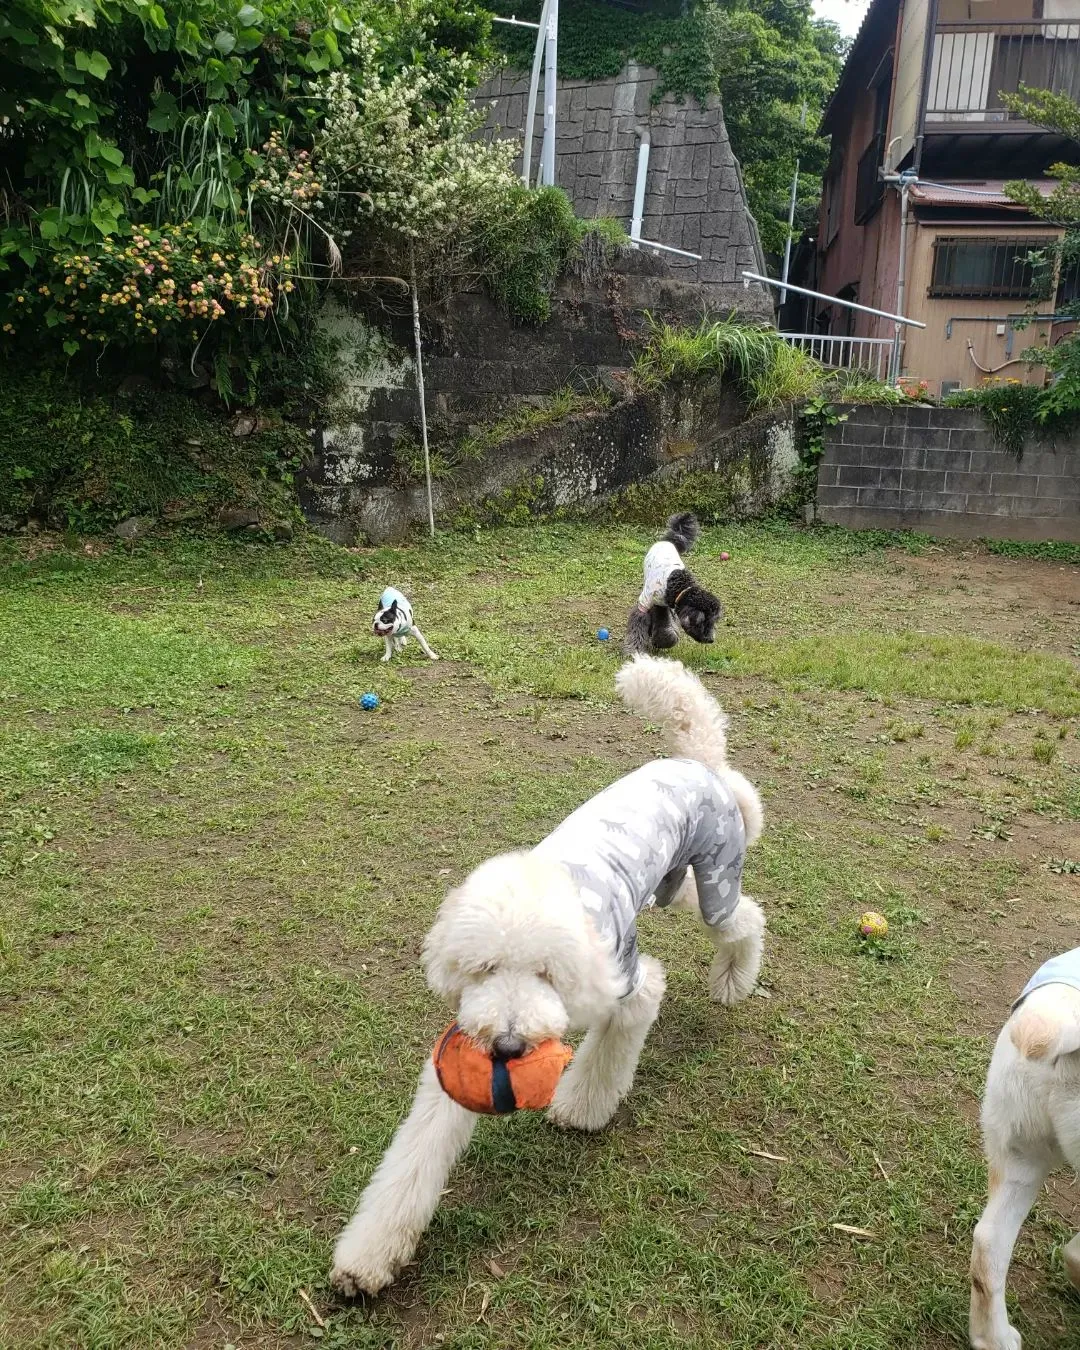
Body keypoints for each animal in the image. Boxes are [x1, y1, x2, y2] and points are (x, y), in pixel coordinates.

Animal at [330, 653, 766, 1296]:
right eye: (484, 968)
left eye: (548, 974)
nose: (509, 1047)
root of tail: (698, 760)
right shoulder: (459, 1057)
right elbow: (416, 1157)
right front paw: (368, 1258)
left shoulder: (628, 984)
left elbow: (608, 1053)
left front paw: (579, 1109)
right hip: (676, 884)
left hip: (715, 876)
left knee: (744, 918)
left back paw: (734, 978)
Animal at [623, 513, 723, 656]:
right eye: (702, 621)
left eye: (714, 620)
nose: (711, 639)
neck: (677, 585)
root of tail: (669, 541)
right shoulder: (645, 603)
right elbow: (637, 627)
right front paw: (634, 650)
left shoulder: (664, 605)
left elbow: (665, 627)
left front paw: (661, 641)